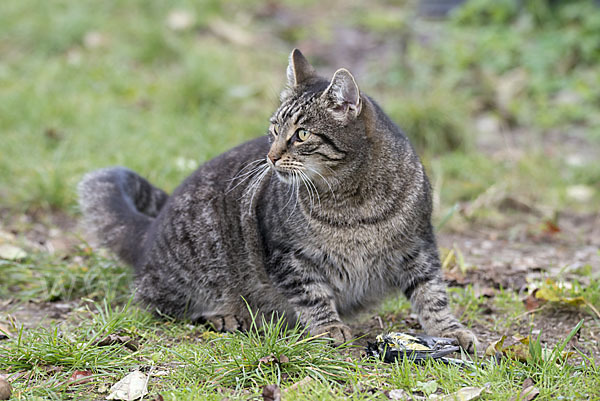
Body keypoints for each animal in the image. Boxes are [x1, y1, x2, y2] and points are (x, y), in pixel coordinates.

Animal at [79, 49, 480, 350]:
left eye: (301, 134)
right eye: (274, 129)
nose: (270, 156)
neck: (353, 201)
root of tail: (149, 231)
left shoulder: (418, 246)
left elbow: (433, 295)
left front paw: (450, 331)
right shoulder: (289, 256)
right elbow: (313, 296)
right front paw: (329, 328)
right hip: (192, 273)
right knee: (161, 304)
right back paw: (223, 314)